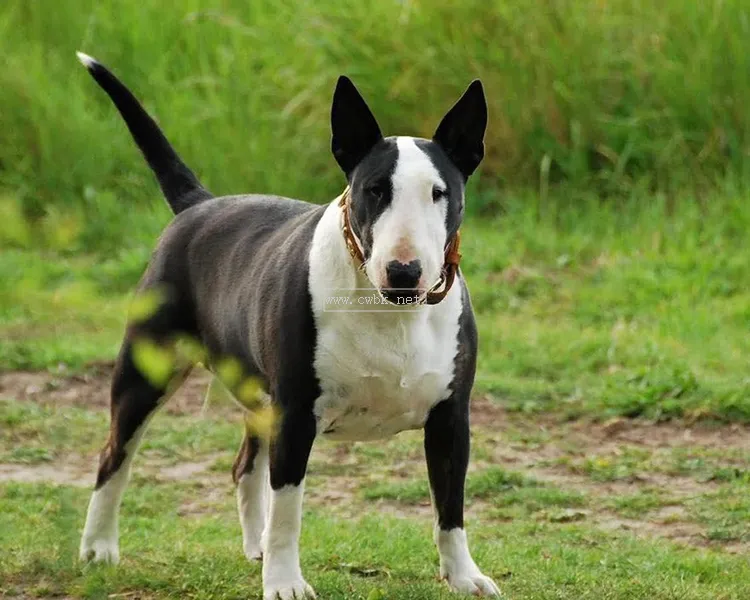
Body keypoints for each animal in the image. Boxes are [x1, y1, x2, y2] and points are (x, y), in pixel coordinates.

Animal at [76, 52, 502, 600]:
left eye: (439, 193)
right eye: (374, 190)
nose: (404, 271)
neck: (392, 311)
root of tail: (197, 204)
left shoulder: (451, 417)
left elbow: (451, 506)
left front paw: (465, 575)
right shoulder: (297, 414)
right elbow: (288, 510)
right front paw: (284, 583)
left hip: (259, 392)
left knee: (243, 464)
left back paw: (252, 546)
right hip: (148, 370)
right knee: (115, 454)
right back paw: (98, 547)